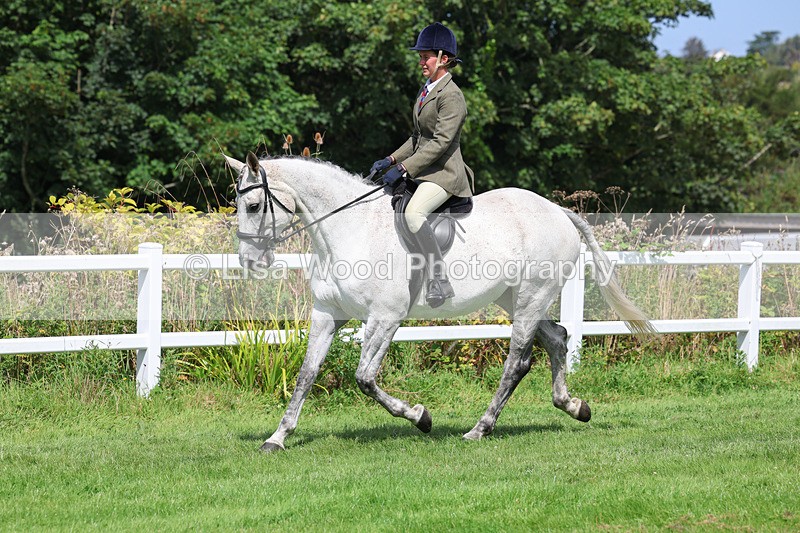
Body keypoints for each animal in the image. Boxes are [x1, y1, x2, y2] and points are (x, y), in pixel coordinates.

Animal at [225, 152, 652, 452]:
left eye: (253, 207)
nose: (249, 262)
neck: (350, 229)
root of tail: (558, 210)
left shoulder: (385, 317)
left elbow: (364, 377)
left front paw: (420, 417)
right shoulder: (328, 314)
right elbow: (306, 374)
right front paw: (278, 437)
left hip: (532, 296)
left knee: (518, 362)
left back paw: (479, 429)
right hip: (514, 298)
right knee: (558, 337)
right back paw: (574, 406)